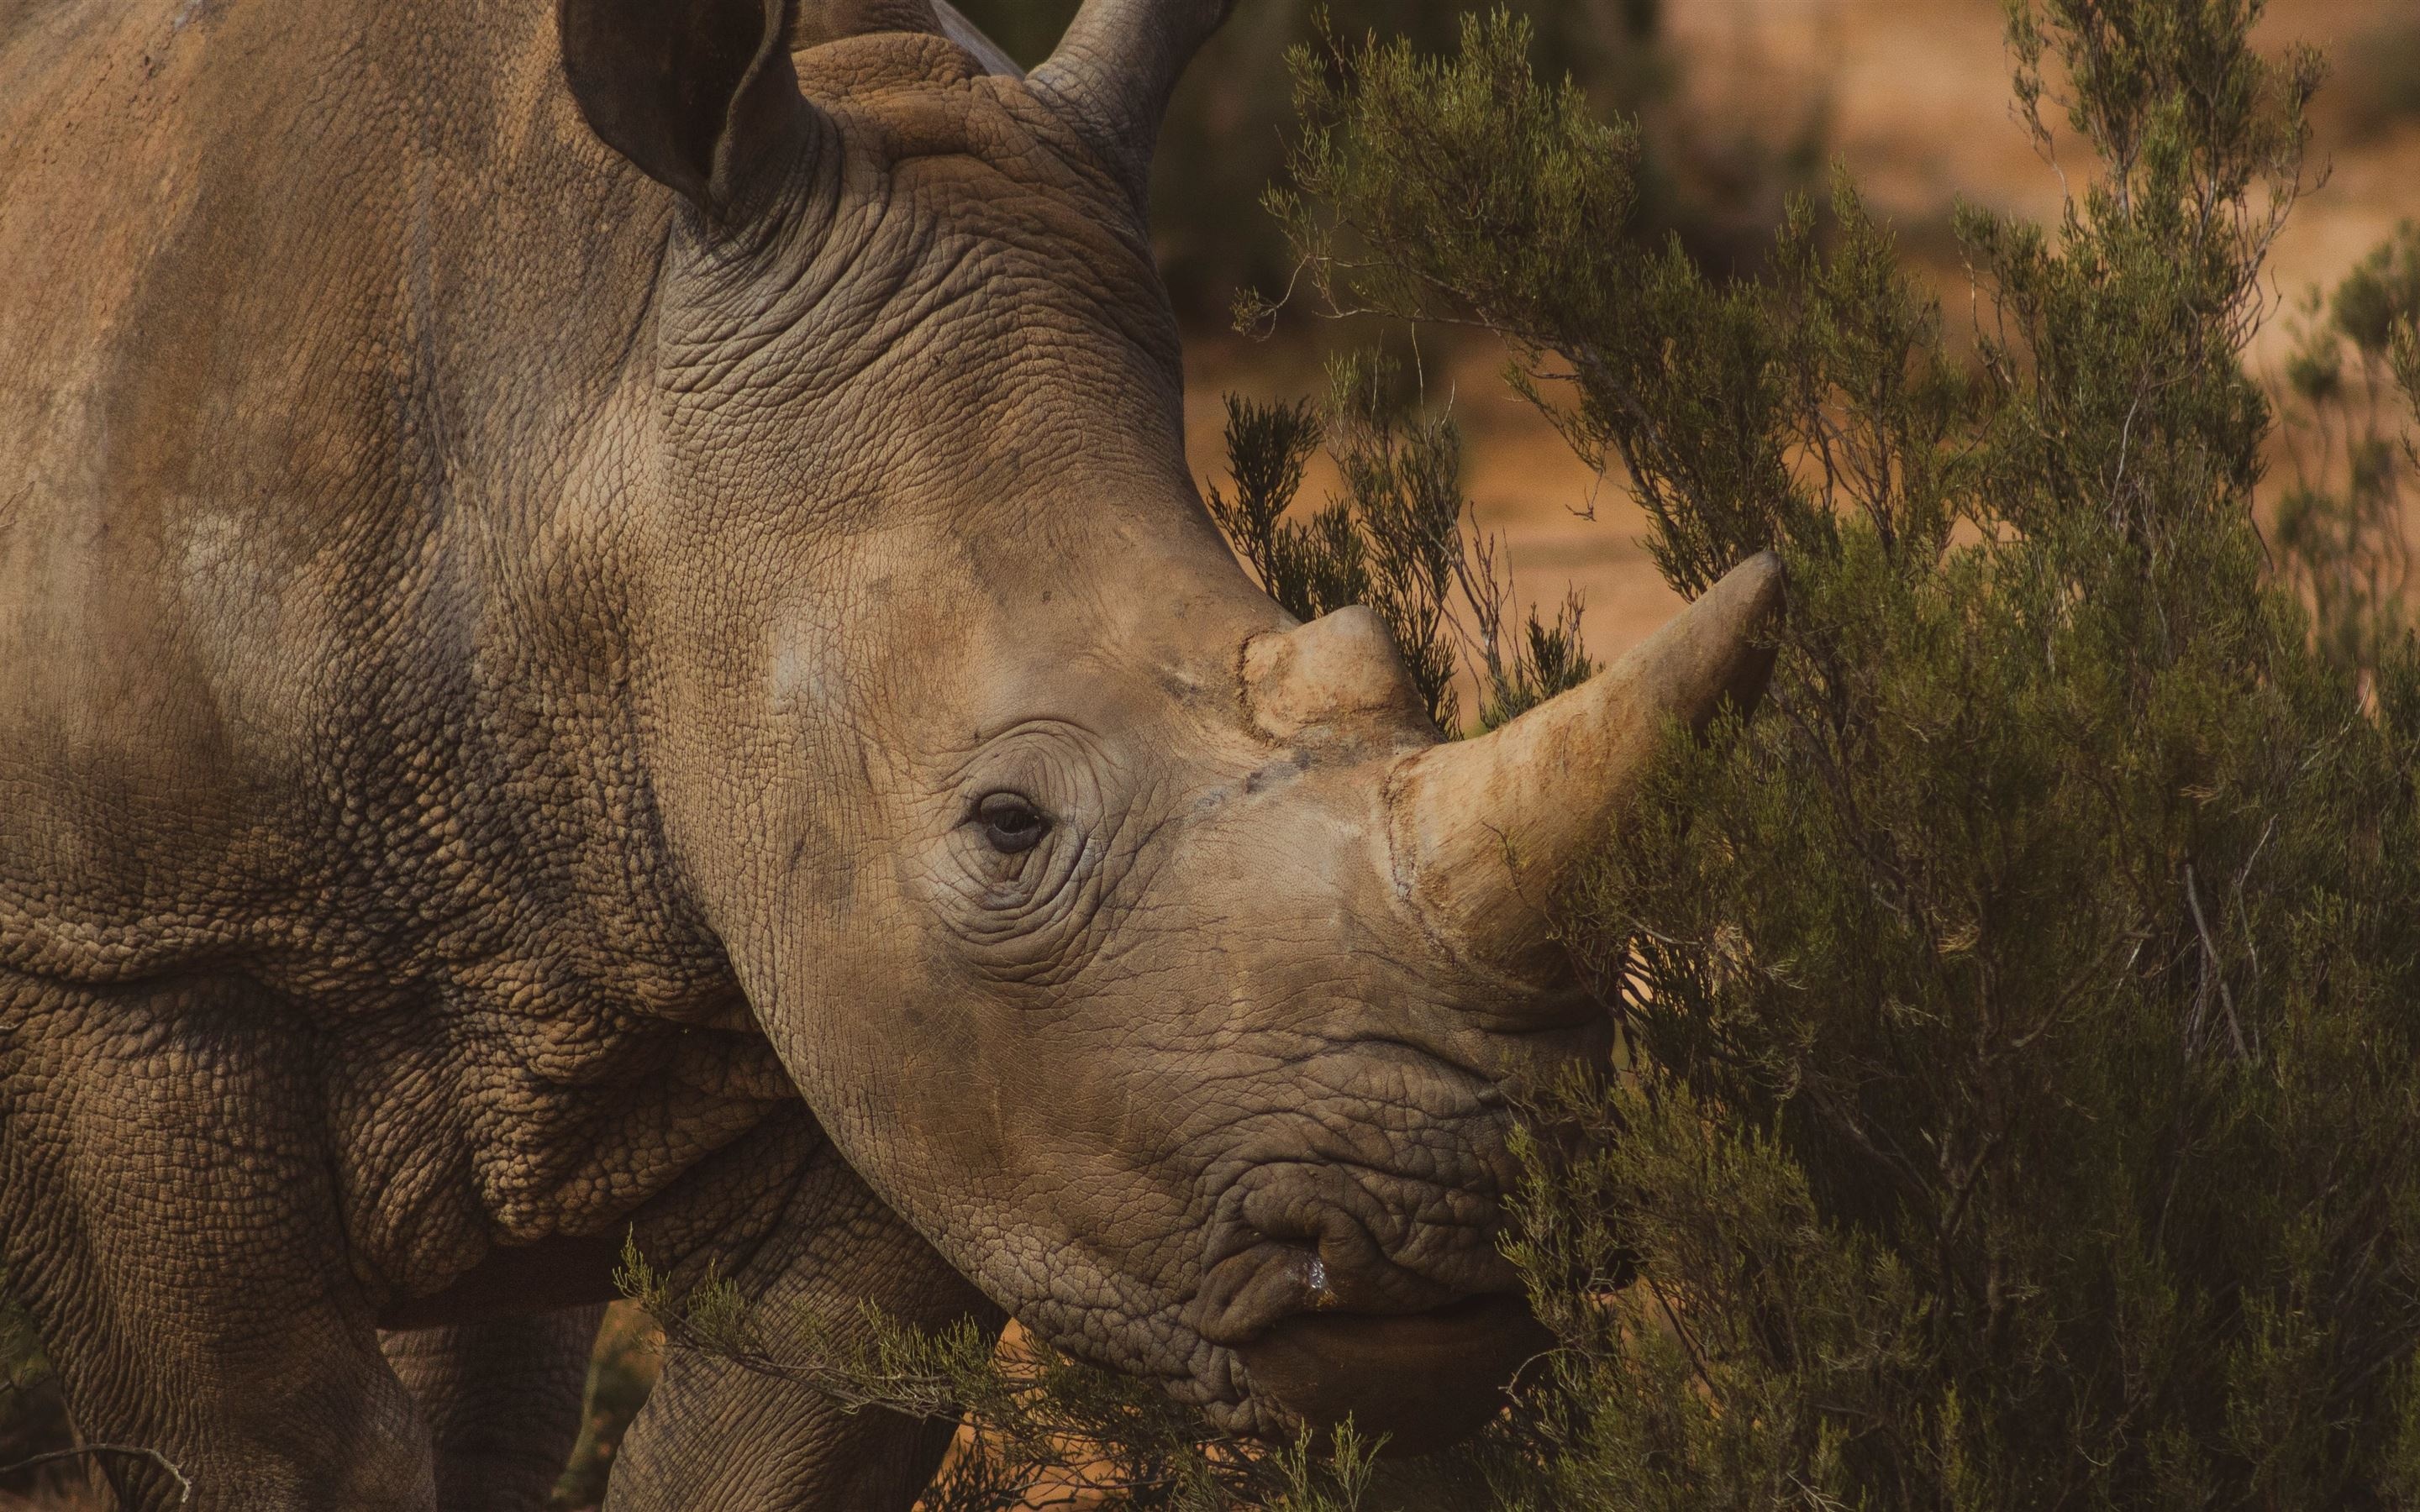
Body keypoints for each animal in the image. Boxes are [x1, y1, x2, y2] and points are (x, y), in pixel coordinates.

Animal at [0, 0, 1781, 1499]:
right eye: (1007, 825)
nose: (1460, 1223)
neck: (584, 381)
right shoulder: (113, 942)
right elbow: (275, 1439)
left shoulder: (885, 1011)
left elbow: (793, 1423)